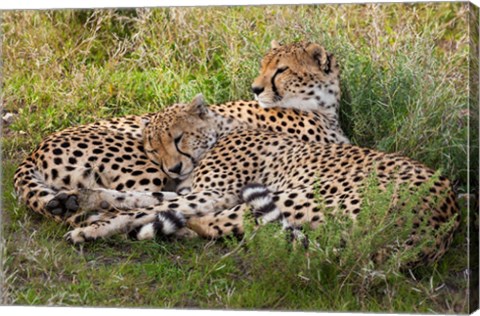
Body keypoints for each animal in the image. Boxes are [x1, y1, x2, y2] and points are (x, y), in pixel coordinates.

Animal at [13, 40, 346, 227]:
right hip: (146, 170)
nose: (255, 88)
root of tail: (36, 149)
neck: (321, 105)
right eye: (263, 66)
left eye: (281, 69)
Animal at [65, 97, 460, 266]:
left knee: (218, 224)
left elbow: (151, 204)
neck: (222, 131)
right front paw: (81, 200)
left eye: (178, 139)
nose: (173, 167)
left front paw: (92, 224)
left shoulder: (213, 193)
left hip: (291, 197)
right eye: (153, 148)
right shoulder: (193, 188)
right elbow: (142, 196)